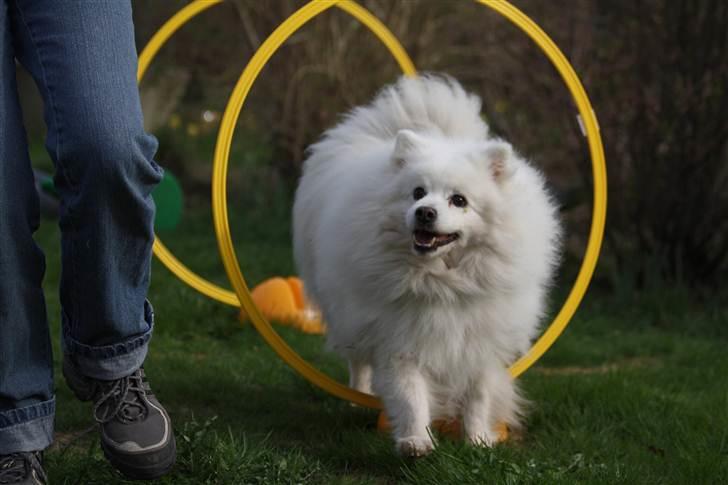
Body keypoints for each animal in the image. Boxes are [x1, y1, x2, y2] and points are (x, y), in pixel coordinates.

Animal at [292, 74, 560, 454]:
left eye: (459, 200)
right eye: (418, 193)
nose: (425, 212)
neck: (443, 281)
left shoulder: (481, 341)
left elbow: (478, 396)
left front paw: (478, 441)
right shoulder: (399, 339)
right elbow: (411, 395)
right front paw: (416, 441)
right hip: (347, 314)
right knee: (358, 362)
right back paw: (357, 398)